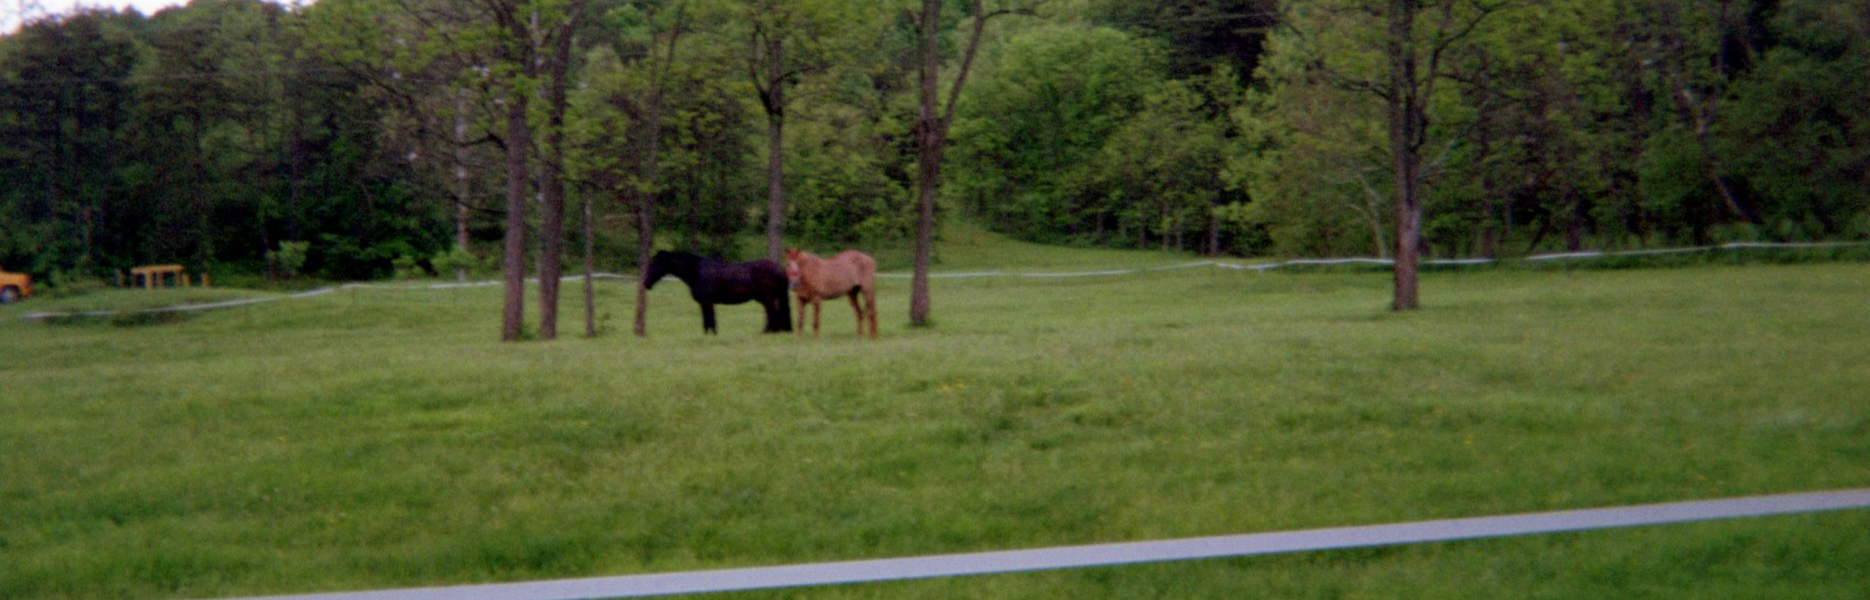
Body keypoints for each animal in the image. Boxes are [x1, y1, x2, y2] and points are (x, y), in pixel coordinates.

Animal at [644, 251, 793, 335]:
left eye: (653, 264)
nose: (646, 284)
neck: (697, 271)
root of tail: (779, 269)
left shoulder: (707, 302)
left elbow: (710, 321)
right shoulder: (705, 303)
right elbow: (707, 322)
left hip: (767, 298)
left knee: (773, 315)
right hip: (767, 299)